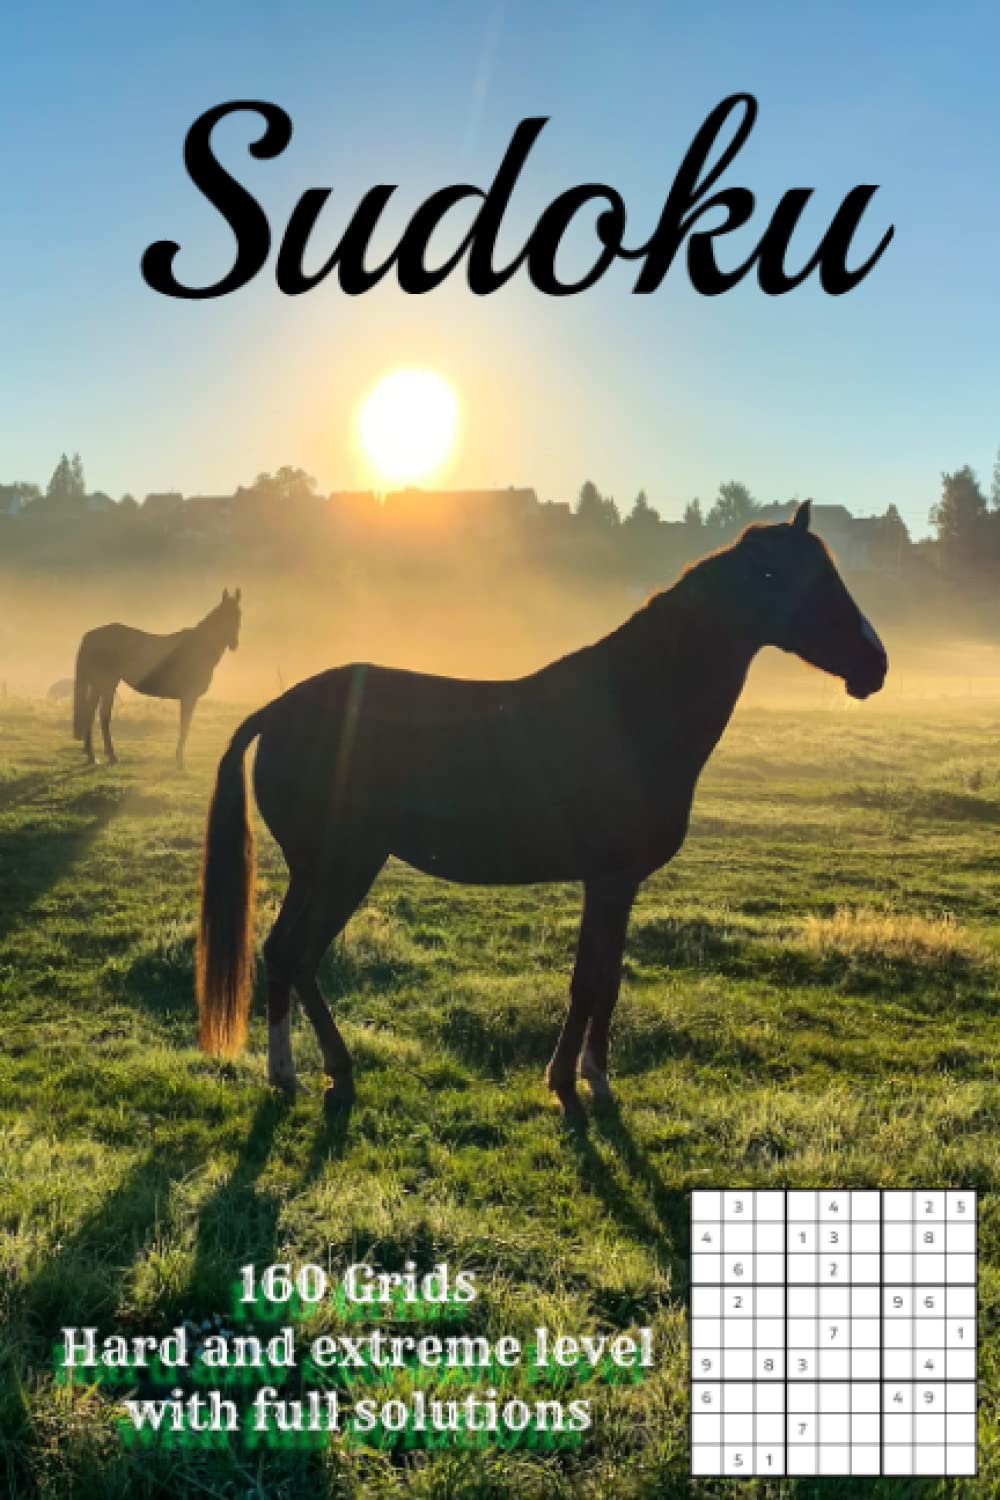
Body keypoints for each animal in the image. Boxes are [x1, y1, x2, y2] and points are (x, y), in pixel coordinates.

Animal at [73, 589, 242, 769]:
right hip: (106, 684)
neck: (197, 648)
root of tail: (92, 635)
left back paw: (94, 756)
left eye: (239, 614)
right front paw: (180, 761)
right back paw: (104, 756)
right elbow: (185, 726)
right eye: (223, 616)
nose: (234, 644)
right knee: (100, 716)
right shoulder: (188, 696)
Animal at [195, 502, 887, 1115]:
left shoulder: (617, 885)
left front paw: (583, 1076)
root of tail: (278, 709)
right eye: (794, 578)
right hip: (340, 868)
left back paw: (315, 1069)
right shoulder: (609, 880)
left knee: (289, 955)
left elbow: (603, 979)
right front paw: (577, 1083)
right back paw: (303, 1072)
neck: (630, 707)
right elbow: (591, 981)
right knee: (293, 954)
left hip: (324, 871)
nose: (875, 665)